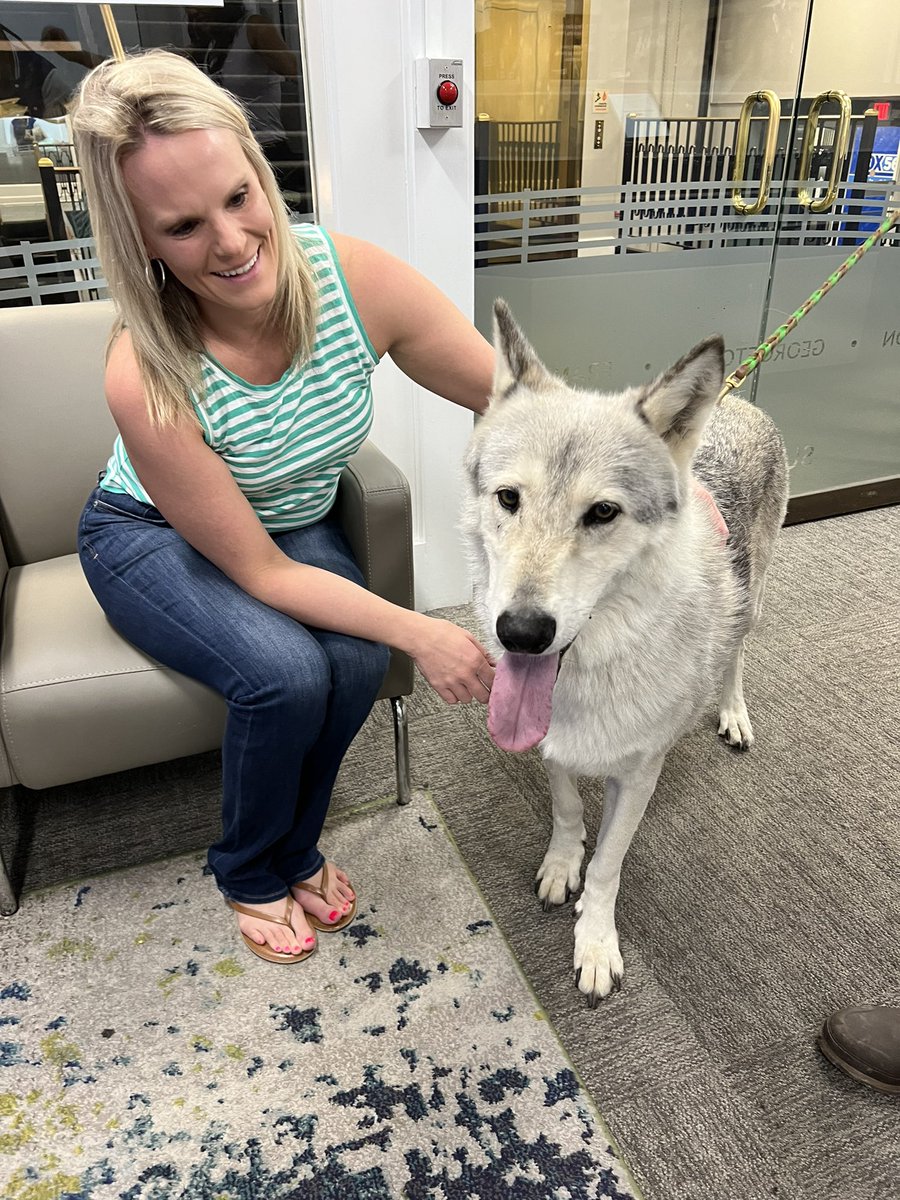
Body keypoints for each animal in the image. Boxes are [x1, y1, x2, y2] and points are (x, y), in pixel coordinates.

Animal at [462, 300, 789, 1006]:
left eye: (603, 513)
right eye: (509, 498)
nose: (520, 632)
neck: (590, 676)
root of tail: (737, 398)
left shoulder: (639, 774)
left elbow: (609, 863)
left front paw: (595, 944)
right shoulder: (555, 749)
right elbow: (565, 814)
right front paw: (561, 868)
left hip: (751, 602)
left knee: (736, 654)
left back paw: (732, 712)